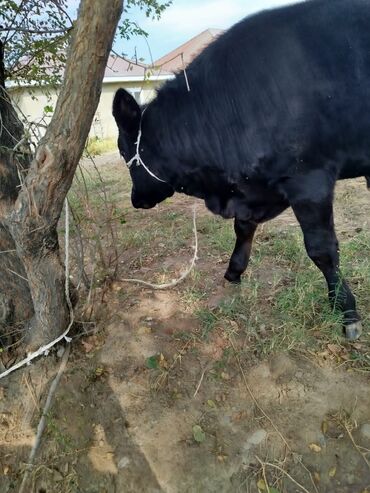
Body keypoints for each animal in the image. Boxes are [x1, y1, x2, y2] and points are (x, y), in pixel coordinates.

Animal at [113, 0, 370, 338]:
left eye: (122, 149)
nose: (136, 199)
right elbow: (243, 227)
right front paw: (234, 271)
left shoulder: (308, 180)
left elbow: (322, 249)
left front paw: (346, 311)